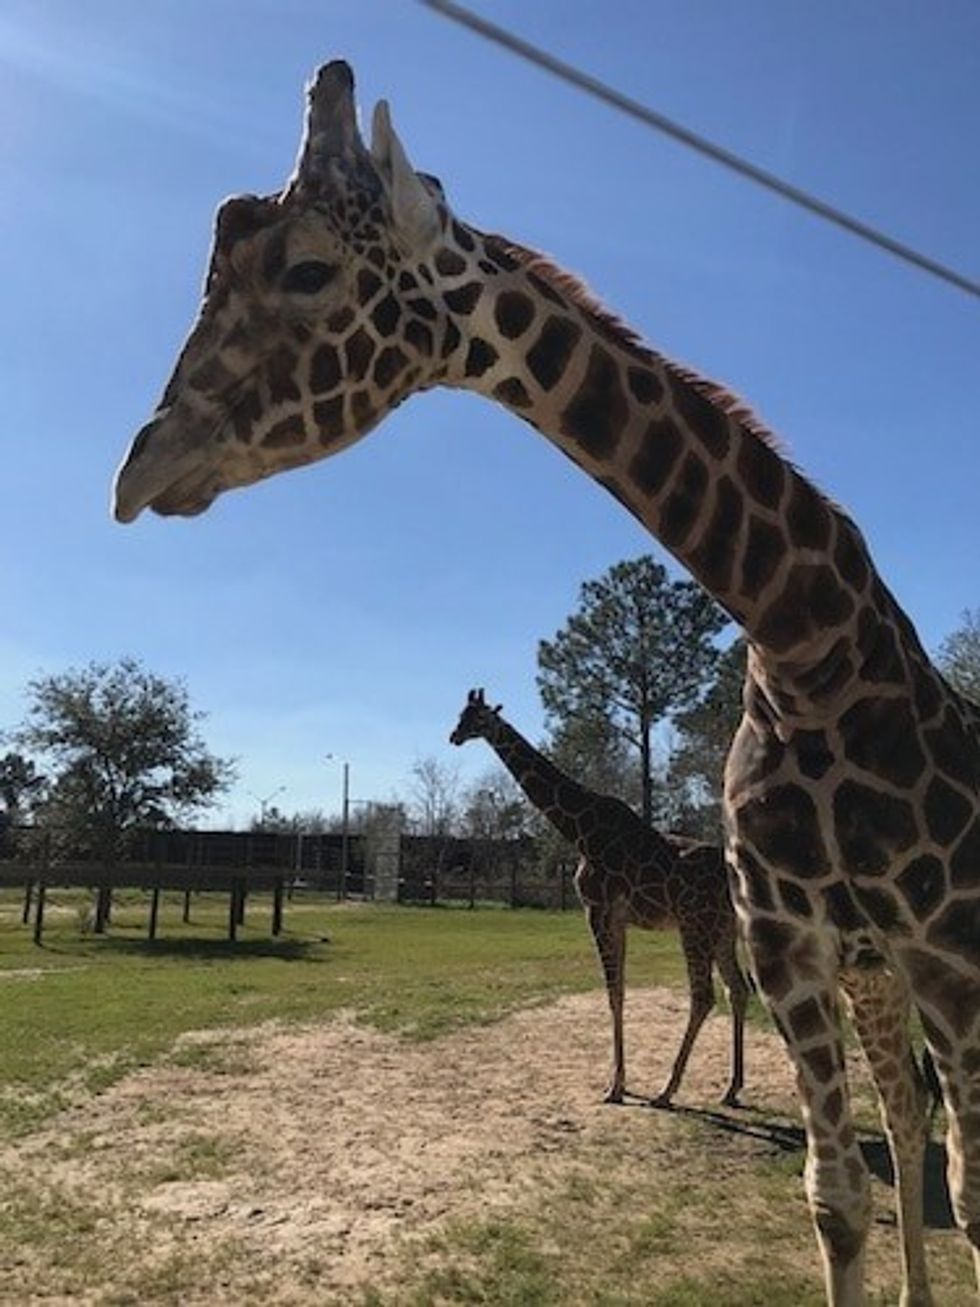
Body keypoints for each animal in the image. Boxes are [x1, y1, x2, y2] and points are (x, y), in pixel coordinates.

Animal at [450, 687, 748, 1108]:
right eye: (461, 715)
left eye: (474, 717)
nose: (453, 736)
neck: (578, 829)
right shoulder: (616, 918)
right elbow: (618, 991)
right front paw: (618, 1081)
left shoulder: (597, 910)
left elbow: (613, 994)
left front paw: (616, 1087)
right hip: (723, 929)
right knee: (737, 989)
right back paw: (731, 1088)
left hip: (694, 925)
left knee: (704, 995)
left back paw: (666, 1090)